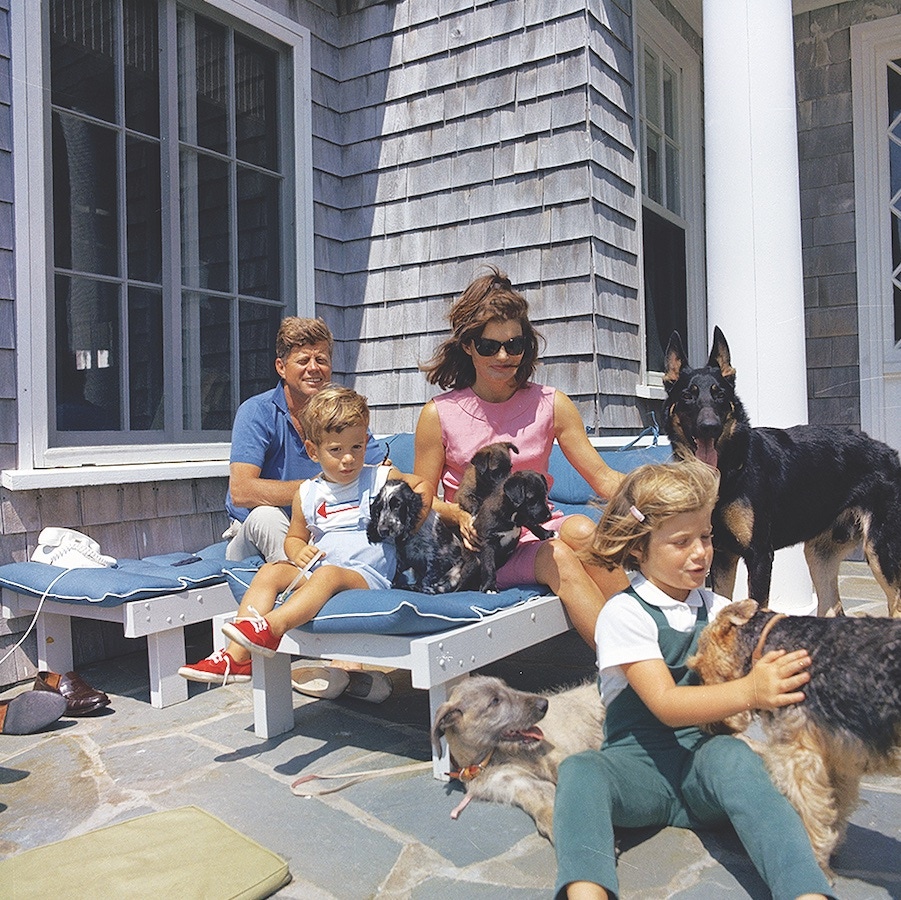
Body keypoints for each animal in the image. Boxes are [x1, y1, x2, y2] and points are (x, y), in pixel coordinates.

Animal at [464, 468, 556, 596]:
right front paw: (490, 587)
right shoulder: (488, 543)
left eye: (544, 495)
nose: (548, 516)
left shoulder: (525, 517)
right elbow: (488, 565)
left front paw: (548, 534)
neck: (512, 515)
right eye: (531, 499)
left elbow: (534, 525)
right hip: (473, 563)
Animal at [660, 326, 900, 620]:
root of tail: (889, 452)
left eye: (719, 395)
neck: (728, 470)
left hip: (880, 550)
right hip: (819, 554)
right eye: (688, 395)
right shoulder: (721, 556)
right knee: (833, 607)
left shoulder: (759, 556)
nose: (710, 427)